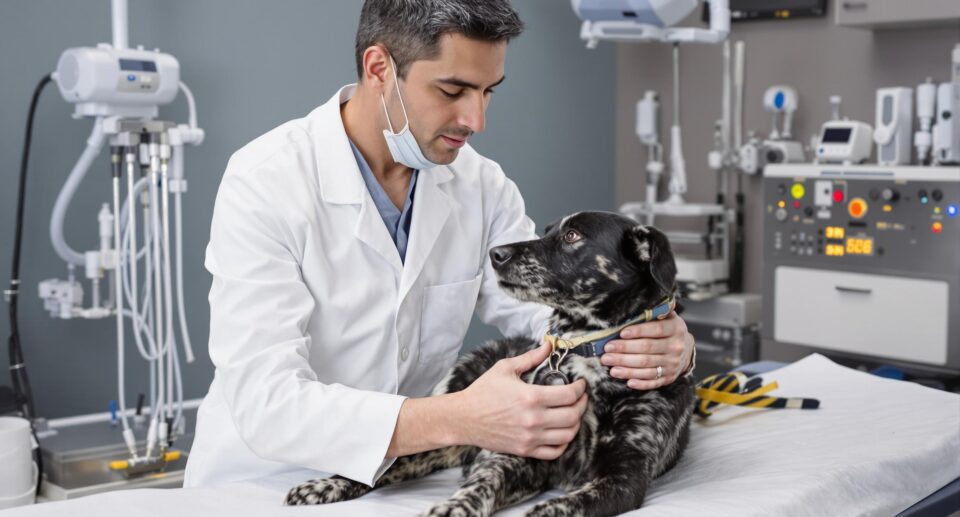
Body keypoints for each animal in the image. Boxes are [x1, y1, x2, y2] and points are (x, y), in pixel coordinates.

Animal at [282, 212, 692, 512]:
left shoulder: (625, 475)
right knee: (384, 461)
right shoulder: (517, 454)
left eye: (572, 236)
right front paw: (454, 507)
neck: (585, 352)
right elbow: (482, 484)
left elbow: (565, 505)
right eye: (546, 230)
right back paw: (326, 485)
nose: (496, 254)